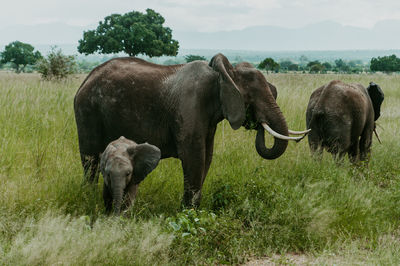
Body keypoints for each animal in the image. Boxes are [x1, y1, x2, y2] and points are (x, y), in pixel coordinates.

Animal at [73, 53, 308, 206]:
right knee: (90, 160)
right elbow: (194, 157)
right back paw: (88, 198)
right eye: (250, 98)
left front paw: (192, 211)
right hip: (88, 110)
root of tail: (86, 79)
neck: (223, 73)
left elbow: (207, 157)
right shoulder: (190, 106)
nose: (258, 122)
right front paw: (188, 214)